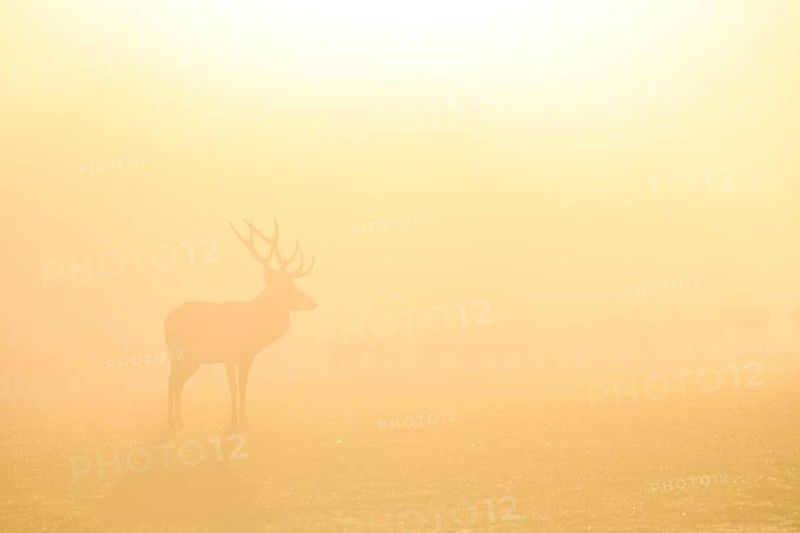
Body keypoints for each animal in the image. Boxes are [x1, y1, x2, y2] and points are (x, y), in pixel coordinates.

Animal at [164, 219, 316, 430]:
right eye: (285, 287)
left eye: (293, 283)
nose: (312, 302)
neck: (254, 327)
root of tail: (166, 321)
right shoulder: (229, 356)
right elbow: (233, 387)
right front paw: (233, 420)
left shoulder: (247, 357)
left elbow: (243, 386)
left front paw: (244, 419)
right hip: (184, 354)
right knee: (173, 380)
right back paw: (172, 421)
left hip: (189, 358)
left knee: (177, 381)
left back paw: (179, 420)